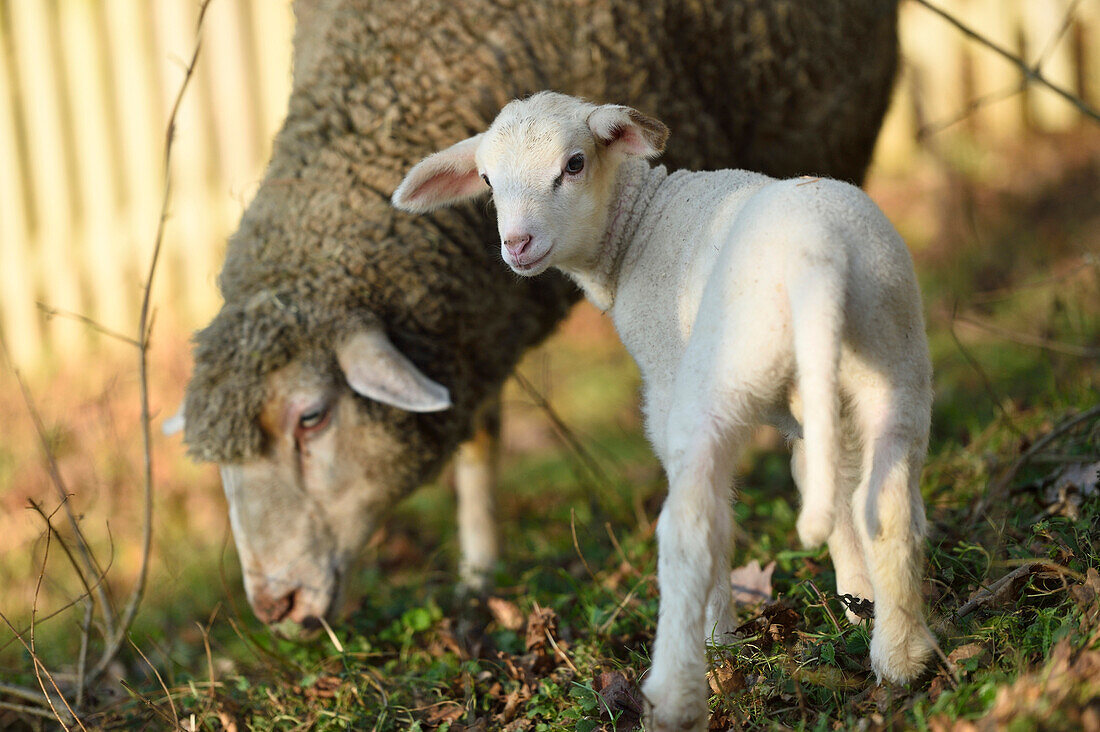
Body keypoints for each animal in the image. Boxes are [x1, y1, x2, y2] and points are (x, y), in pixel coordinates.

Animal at [176, 0, 897, 634]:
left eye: (313, 417)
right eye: (485, 183)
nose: (274, 606)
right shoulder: (472, 317)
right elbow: (479, 432)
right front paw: (478, 574)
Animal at [391, 91, 932, 730]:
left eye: (575, 164)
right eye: (486, 180)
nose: (516, 245)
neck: (638, 229)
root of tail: (818, 261)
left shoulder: (669, 385)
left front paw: (727, 638)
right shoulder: (814, 417)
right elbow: (828, 488)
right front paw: (855, 606)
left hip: (720, 373)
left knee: (693, 526)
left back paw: (681, 687)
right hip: (893, 353)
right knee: (888, 498)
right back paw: (902, 658)